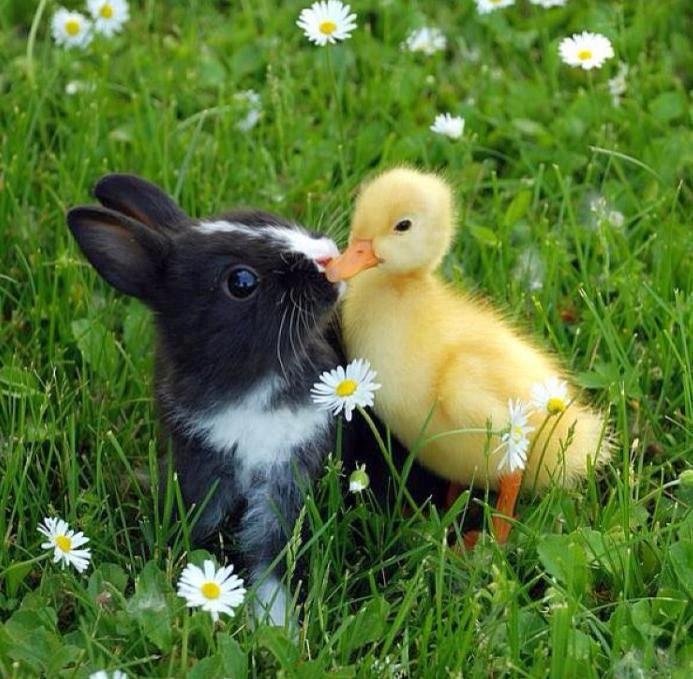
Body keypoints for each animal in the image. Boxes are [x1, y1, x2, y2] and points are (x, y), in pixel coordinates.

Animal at [67, 174, 344, 628]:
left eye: (265, 217)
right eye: (241, 283)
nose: (328, 257)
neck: (252, 383)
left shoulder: (285, 475)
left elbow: (269, 553)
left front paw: (275, 623)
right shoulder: (200, 465)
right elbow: (195, 533)